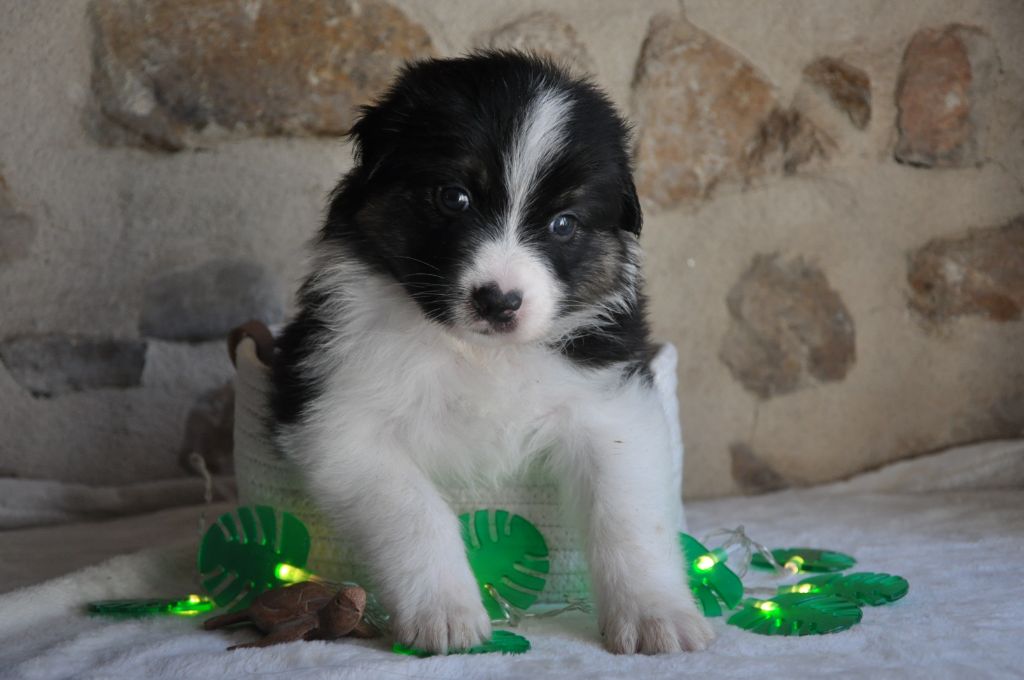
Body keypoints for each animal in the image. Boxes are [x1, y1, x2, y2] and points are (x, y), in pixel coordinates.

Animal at [270, 51, 713, 655]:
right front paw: (445, 613)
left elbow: (629, 515)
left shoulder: (612, 405)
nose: (498, 301)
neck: (480, 352)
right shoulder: (335, 416)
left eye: (564, 223)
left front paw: (656, 614)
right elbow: (412, 508)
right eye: (454, 197)